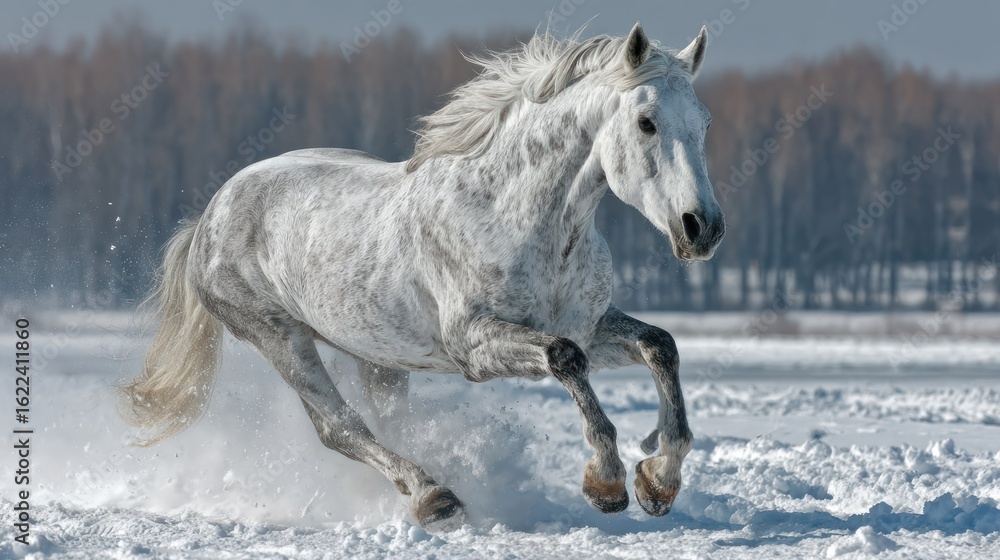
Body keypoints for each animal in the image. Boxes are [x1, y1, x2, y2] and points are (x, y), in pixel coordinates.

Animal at [118, 22, 725, 530]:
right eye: (646, 122)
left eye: (704, 123)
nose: (702, 228)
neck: (520, 218)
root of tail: (210, 214)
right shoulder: (475, 346)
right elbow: (565, 360)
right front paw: (606, 482)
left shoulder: (588, 324)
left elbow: (659, 345)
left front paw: (659, 480)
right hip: (280, 338)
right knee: (341, 428)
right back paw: (435, 497)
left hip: (376, 355)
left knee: (384, 422)